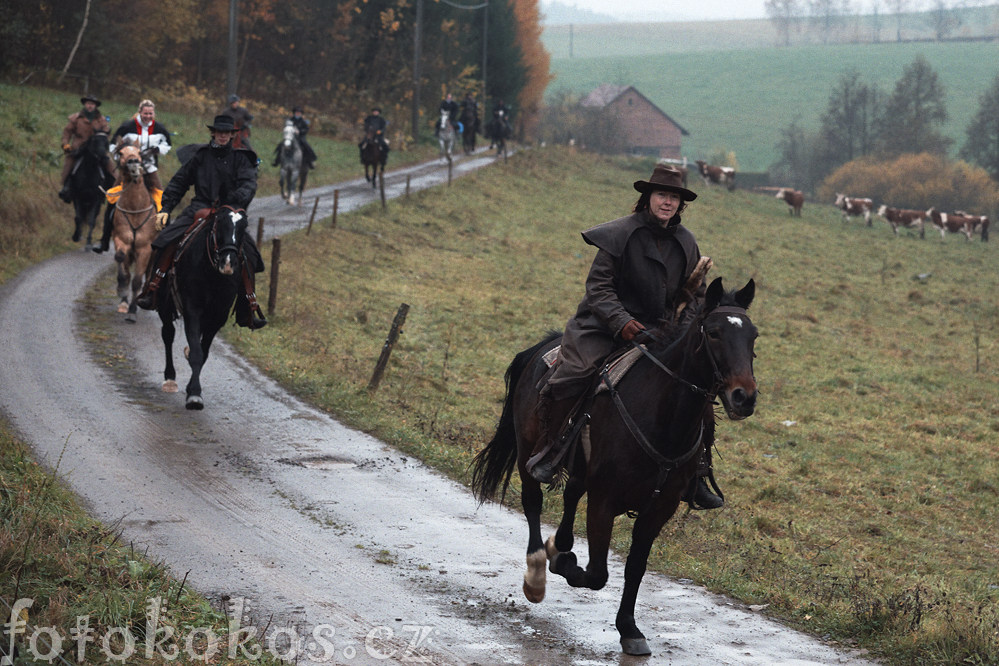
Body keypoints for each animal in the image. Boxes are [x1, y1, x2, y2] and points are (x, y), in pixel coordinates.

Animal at [110, 143, 157, 322]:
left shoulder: (145, 249)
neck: (135, 209)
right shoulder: (122, 240)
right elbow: (121, 264)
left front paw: (132, 310)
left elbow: (137, 281)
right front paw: (122, 293)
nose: (133, 162)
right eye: (121, 153)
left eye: (139, 153)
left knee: (146, 276)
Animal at [158, 205, 250, 408]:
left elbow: (203, 351)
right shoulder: (192, 310)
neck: (212, 274)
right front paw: (194, 394)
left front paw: (192, 389)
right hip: (164, 306)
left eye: (244, 227)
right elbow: (197, 353)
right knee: (168, 334)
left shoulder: (218, 316)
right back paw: (170, 378)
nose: (228, 263)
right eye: (219, 223)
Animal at [472, 278, 760, 656]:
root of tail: (543, 346)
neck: (662, 418)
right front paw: (564, 564)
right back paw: (537, 572)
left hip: (580, 469)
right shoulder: (604, 499)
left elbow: (635, 568)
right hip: (527, 453)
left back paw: (559, 544)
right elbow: (597, 574)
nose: (745, 397)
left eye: (753, 336)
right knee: (533, 502)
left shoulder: (660, 508)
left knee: (570, 495)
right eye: (712, 333)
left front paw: (629, 628)